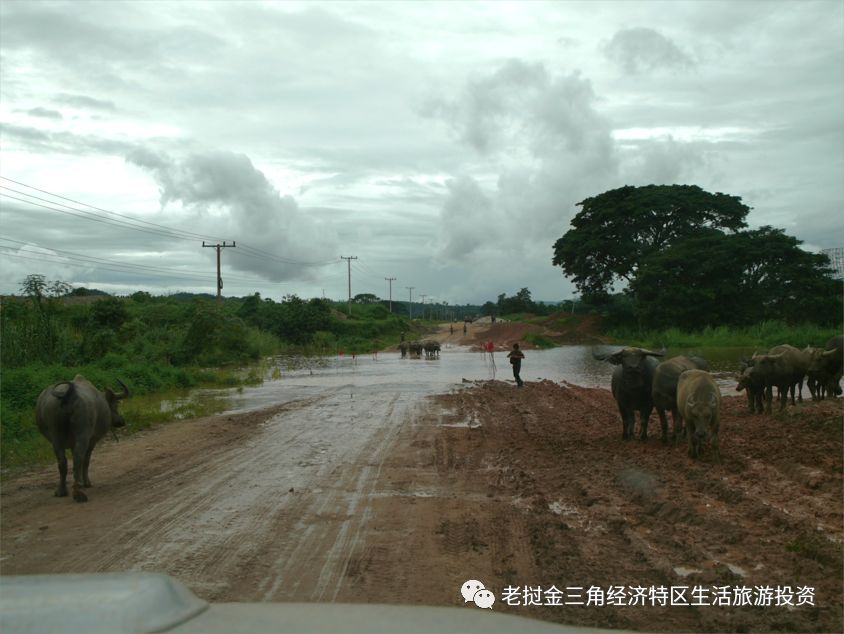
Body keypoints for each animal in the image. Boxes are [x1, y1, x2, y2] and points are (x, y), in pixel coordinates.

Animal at [36, 372, 129, 502]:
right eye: (115, 405)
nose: (121, 422)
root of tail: (68, 394)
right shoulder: (92, 440)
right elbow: (86, 460)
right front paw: (87, 482)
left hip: (56, 437)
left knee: (63, 462)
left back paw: (62, 491)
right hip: (83, 435)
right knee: (79, 458)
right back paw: (78, 491)